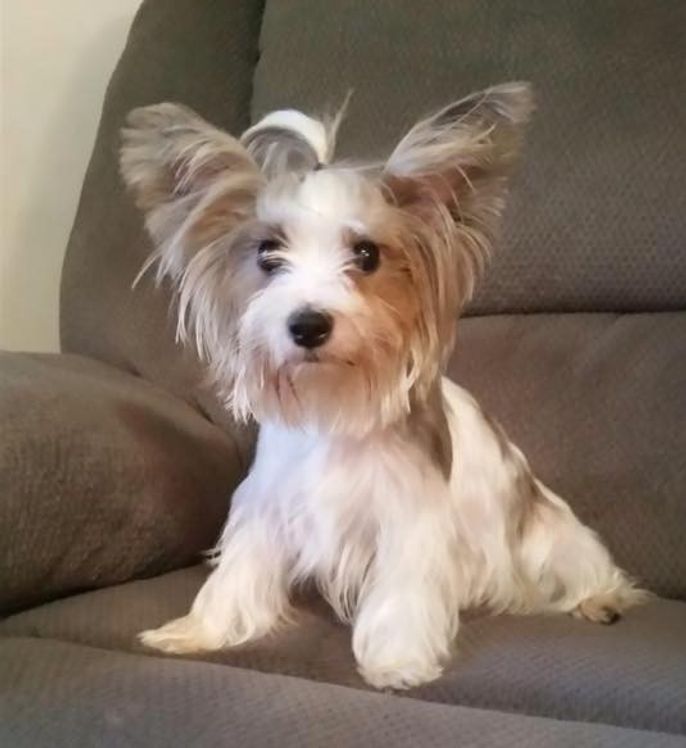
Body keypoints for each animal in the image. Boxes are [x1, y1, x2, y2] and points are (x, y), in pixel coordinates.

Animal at [120, 82, 647, 690]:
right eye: (268, 255)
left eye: (367, 254)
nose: (307, 324)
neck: (335, 405)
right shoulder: (269, 504)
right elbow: (241, 569)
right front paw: (197, 631)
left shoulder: (409, 517)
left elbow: (402, 591)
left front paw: (398, 662)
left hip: (553, 540)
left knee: (587, 571)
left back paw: (599, 600)